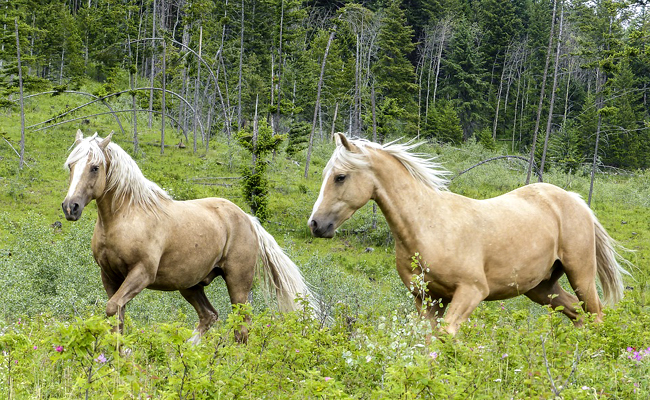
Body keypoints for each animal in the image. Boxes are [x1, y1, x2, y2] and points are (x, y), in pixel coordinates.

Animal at [62, 130, 316, 342]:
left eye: (95, 167)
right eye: (71, 166)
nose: (70, 207)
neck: (127, 216)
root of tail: (248, 219)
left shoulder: (141, 273)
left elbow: (113, 308)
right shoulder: (109, 276)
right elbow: (116, 316)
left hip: (238, 284)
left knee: (241, 327)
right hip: (191, 285)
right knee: (209, 316)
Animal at [308, 133, 628, 336]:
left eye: (340, 177)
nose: (316, 224)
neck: (428, 227)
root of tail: (575, 200)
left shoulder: (472, 292)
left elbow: (447, 337)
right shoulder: (427, 299)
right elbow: (428, 343)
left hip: (580, 273)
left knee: (596, 315)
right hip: (542, 287)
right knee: (578, 314)